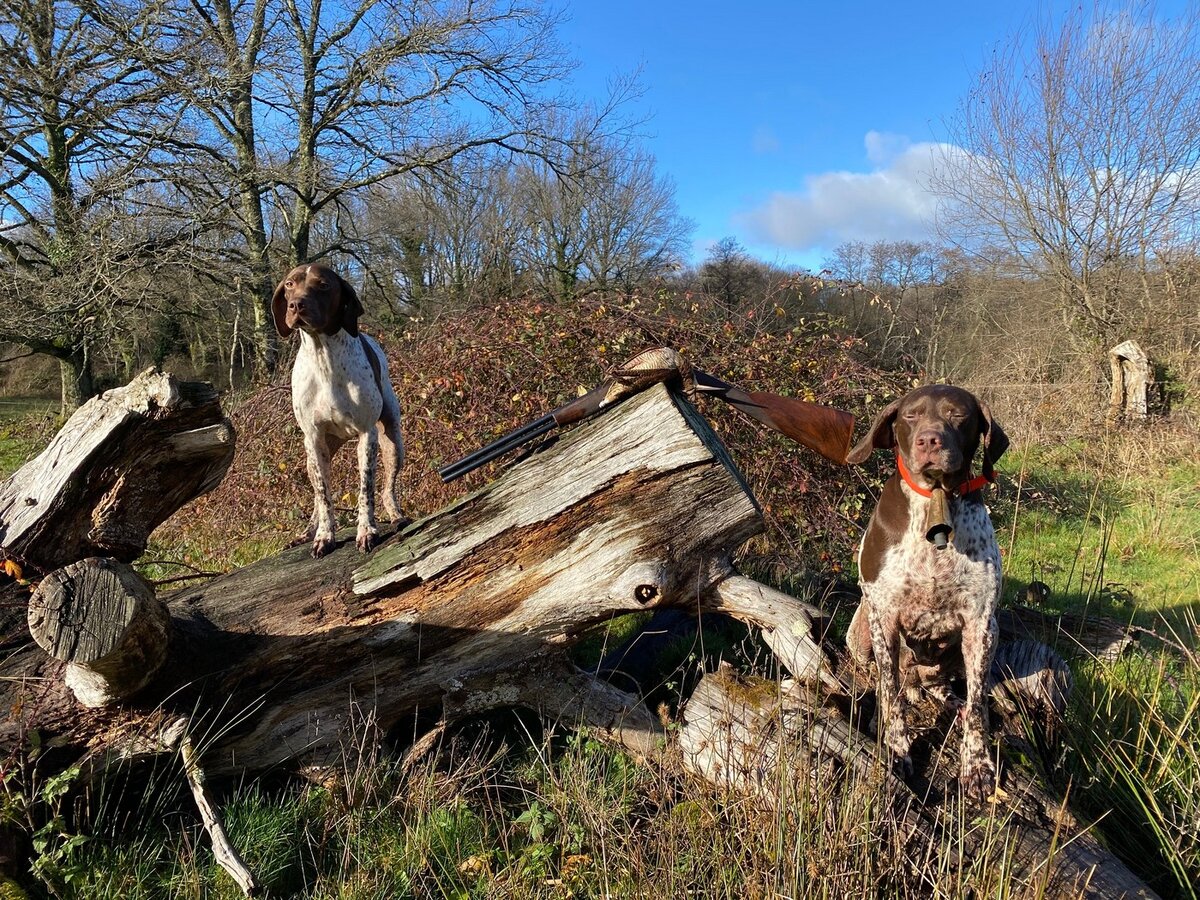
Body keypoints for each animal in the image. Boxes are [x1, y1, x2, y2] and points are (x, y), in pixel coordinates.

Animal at [271, 260, 403, 556]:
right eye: (290, 284)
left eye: (323, 285)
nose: (296, 305)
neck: (324, 358)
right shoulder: (314, 439)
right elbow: (323, 496)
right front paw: (323, 536)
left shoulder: (367, 435)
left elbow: (366, 489)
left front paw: (367, 531)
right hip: (314, 457)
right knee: (317, 497)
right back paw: (307, 532)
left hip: (393, 442)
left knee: (387, 490)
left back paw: (397, 517)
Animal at [844, 384, 1012, 801]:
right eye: (910, 415)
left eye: (957, 414)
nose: (929, 440)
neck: (935, 502)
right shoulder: (884, 617)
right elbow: (890, 695)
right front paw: (897, 751)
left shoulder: (981, 624)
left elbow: (979, 702)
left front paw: (977, 766)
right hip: (860, 631)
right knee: (886, 682)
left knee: (948, 689)